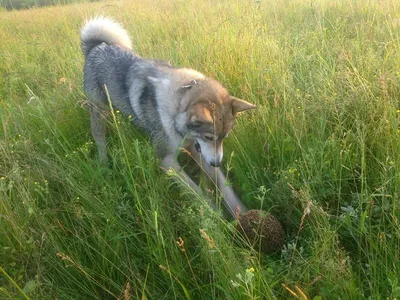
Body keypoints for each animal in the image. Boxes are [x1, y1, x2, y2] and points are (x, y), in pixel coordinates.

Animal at [80, 16, 256, 217]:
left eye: (224, 138)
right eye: (208, 137)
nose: (217, 163)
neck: (178, 106)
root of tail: (96, 47)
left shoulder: (199, 152)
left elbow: (225, 186)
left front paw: (242, 213)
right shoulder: (167, 161)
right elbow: (196, 192)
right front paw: (216, 216)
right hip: (98, 112)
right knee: (99, 138)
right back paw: (104, 165)